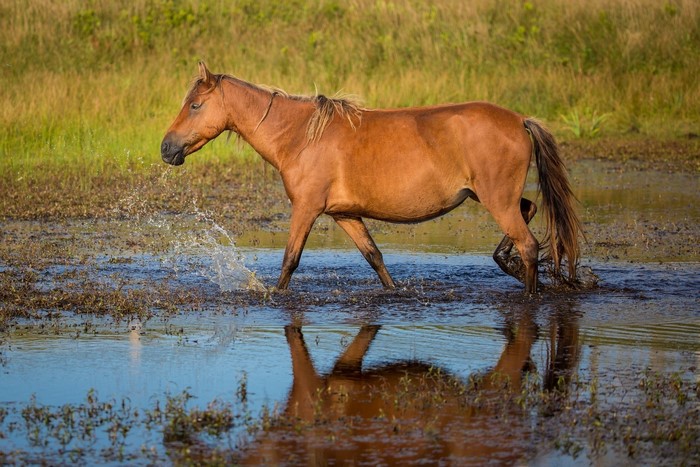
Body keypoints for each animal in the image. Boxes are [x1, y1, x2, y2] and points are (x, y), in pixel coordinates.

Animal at [162, 62, 582, 293]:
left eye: (195, 105)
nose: (166, 148)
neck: (300, 136)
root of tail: (520, 120)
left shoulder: (306, 209)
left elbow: (289, 261)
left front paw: (274, 296)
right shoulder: (345, 215)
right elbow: (375, 258)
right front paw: (395, 292)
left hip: (496, 200)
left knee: (529, 245)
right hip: (492, 197)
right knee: (528, 213)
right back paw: (509, 265)